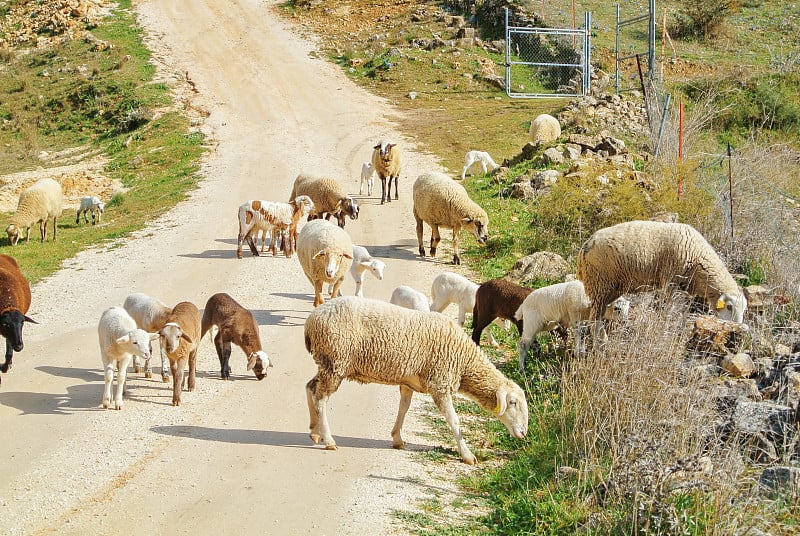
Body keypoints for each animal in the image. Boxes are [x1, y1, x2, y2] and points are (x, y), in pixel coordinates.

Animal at [304, 298, 528, 464]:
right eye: (513, 403)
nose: (524, 433)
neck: (464, 361)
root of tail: (312, 319)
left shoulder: (408, 383)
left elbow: (404, 408)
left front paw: (397, 438)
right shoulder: (440, 385)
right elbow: (454, 421)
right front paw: (467, 455)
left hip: (328, 363)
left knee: (310, 387)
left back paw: (314, 431)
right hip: (336, 361)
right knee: (321, 398)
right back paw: (329, 439)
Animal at [580, 219, 748, 338]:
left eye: (744, 308)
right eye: (729, 307)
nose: (739, 328)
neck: (699, 258)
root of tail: (586, 245)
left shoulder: (685, 288)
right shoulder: (671, 282)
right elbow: (670, 309)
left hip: (610, 288)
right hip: (598, 283)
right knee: (594, 320)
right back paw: (601, 343)